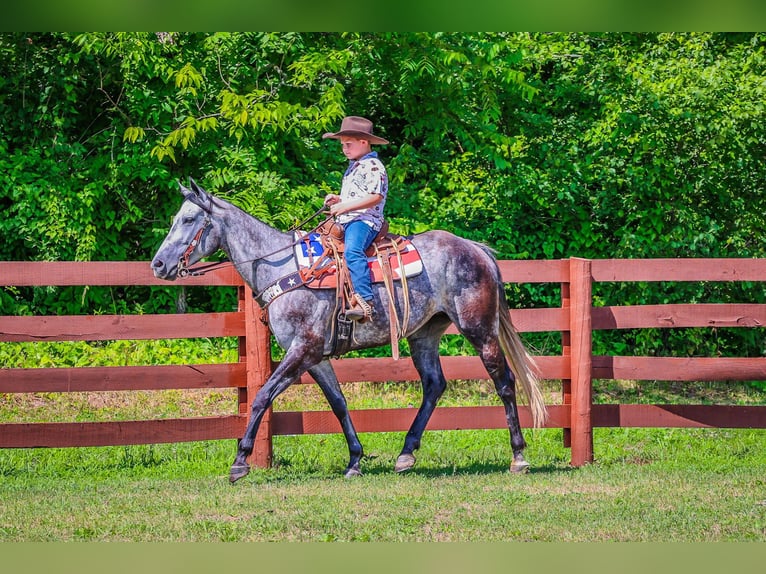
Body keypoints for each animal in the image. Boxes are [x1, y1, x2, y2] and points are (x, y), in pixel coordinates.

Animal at [151, 179, 547, 482]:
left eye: (189, 219)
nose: (157, 264)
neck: (284, 268)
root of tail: (476, 249)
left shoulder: (302, 350)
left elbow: (262, 396)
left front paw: (239, 462)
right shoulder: (315, 357)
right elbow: (338, 402)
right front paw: (355, 459)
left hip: (479, 329)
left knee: (504, 382)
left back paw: (518, 456)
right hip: (424, 335)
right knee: (434, 385)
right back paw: (405, 454)